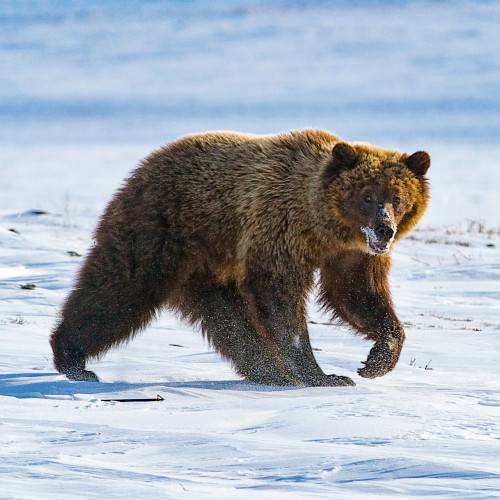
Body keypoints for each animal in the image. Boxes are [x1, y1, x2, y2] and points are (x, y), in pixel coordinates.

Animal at [49, 130, 430, 386]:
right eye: (366, 195)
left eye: (397, 196)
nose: (384, 229)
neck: (323, 226)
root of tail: (143, 166)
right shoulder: (279, 232)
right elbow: (282, 301)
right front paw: (321, 374)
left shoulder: (351, 254)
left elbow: (357, 295)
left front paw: (376, 360)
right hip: (163, 229)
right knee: (120, 291)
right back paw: (73, 358)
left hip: (209, 266)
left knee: (230, 322)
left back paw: (269, 371)